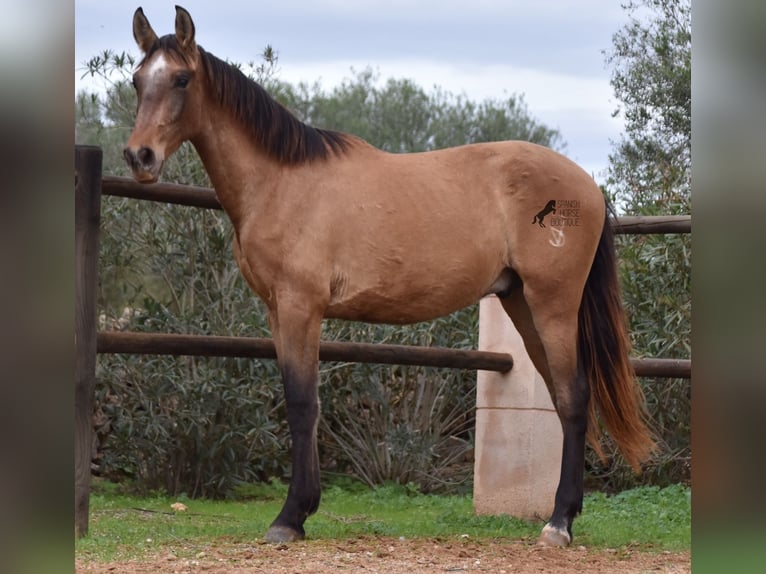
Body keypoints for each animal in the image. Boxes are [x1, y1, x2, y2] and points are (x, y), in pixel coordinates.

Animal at [121, 6, 656, 552]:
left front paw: (290, 517)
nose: (139, 157)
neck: (282, 182)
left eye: (182, 79)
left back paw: (558, 524)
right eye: (138, 80)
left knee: (574, 398)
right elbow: (303, 403)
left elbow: (302, 404)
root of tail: (588, 185)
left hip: (553, 305)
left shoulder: (300, 307)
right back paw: (562, 515)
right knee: (561, 399)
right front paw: (302, 511)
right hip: (521, 304)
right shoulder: (276, 311)